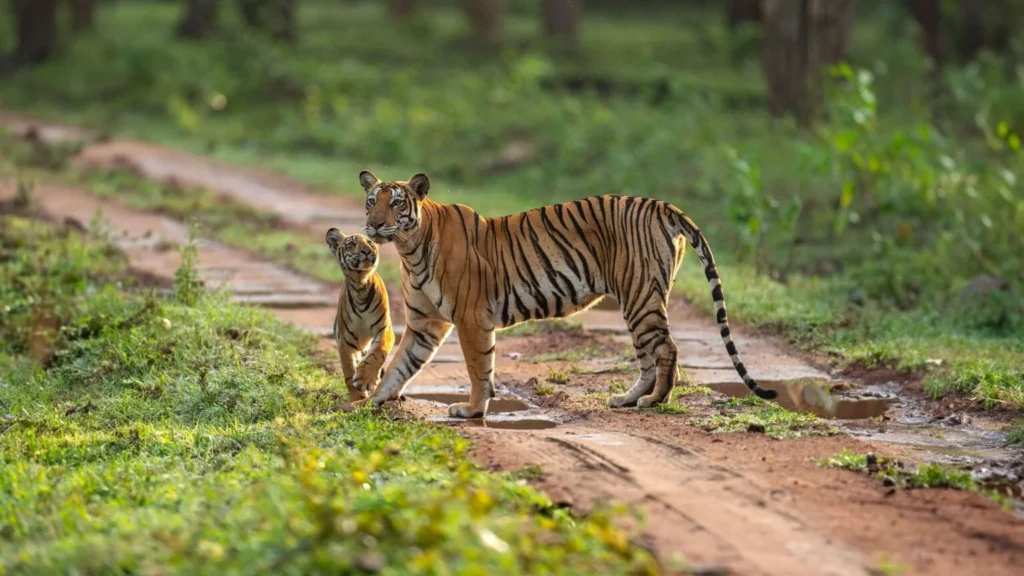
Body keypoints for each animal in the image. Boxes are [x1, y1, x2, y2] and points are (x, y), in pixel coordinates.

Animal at [360, 170, 774, 416]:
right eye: (370, 201)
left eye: (395, 202)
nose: (374, 225)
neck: (410, 248)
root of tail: (660, 205)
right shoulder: (424, 324)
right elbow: (400, 366)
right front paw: (370, 400)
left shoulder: (471, 319)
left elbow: (478, 368)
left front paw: (472, 410)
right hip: (640, 301)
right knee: (648, 356)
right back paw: (627, 399)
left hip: (641, 297)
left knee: (667, 349)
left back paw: (656, 401)